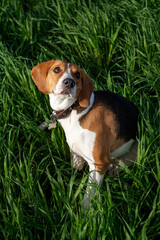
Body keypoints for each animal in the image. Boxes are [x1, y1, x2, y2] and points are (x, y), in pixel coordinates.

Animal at [31, 60, 139, 208]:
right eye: (56, 69)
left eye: (77, 75)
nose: (69, 82)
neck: (73, 111)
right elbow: (76, 161)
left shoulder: (99, 163)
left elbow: (89, 193)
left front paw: (85, 211)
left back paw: (116, 166)